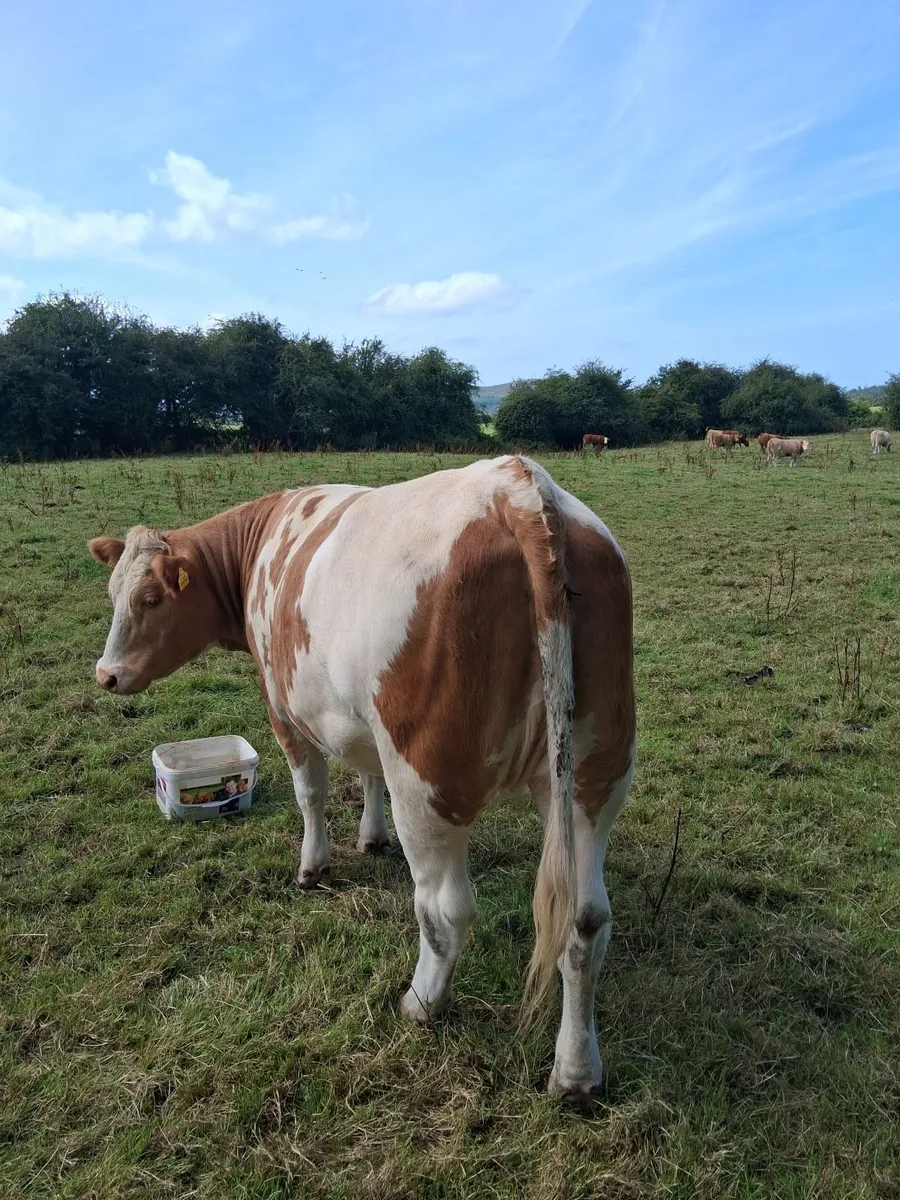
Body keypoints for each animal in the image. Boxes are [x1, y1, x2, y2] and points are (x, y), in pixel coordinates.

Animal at [88, 456, 636, 1102]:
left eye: (149, 598)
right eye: (112, 592)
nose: (105, 675)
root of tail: (516, 486)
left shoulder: (284, 709)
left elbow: (311, 793)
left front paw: (313, 867)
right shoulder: (363, 726)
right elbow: (367, 776)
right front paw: (371, 838)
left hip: (426, 783)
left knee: (446, 910)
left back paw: (421, 1003)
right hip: (591, 777)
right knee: (585, 921)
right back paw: (575, 1074)